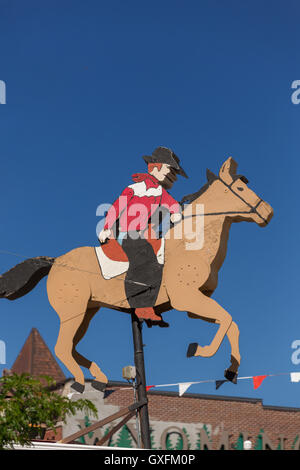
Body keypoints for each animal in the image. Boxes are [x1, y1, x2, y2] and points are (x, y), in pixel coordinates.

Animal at [0, 156, 272, 392]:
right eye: (240, 187)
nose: (268, 213)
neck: (189, 244)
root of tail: (55, 262)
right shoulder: (185, 299)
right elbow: (226, 320)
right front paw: (197, 349)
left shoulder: (194, 304)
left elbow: (231, 324)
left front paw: (231, 371)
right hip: (71, 311)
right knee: (62, 348)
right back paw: (79, 382)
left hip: (87, 311)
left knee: (73, 347)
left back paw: (99, 378)